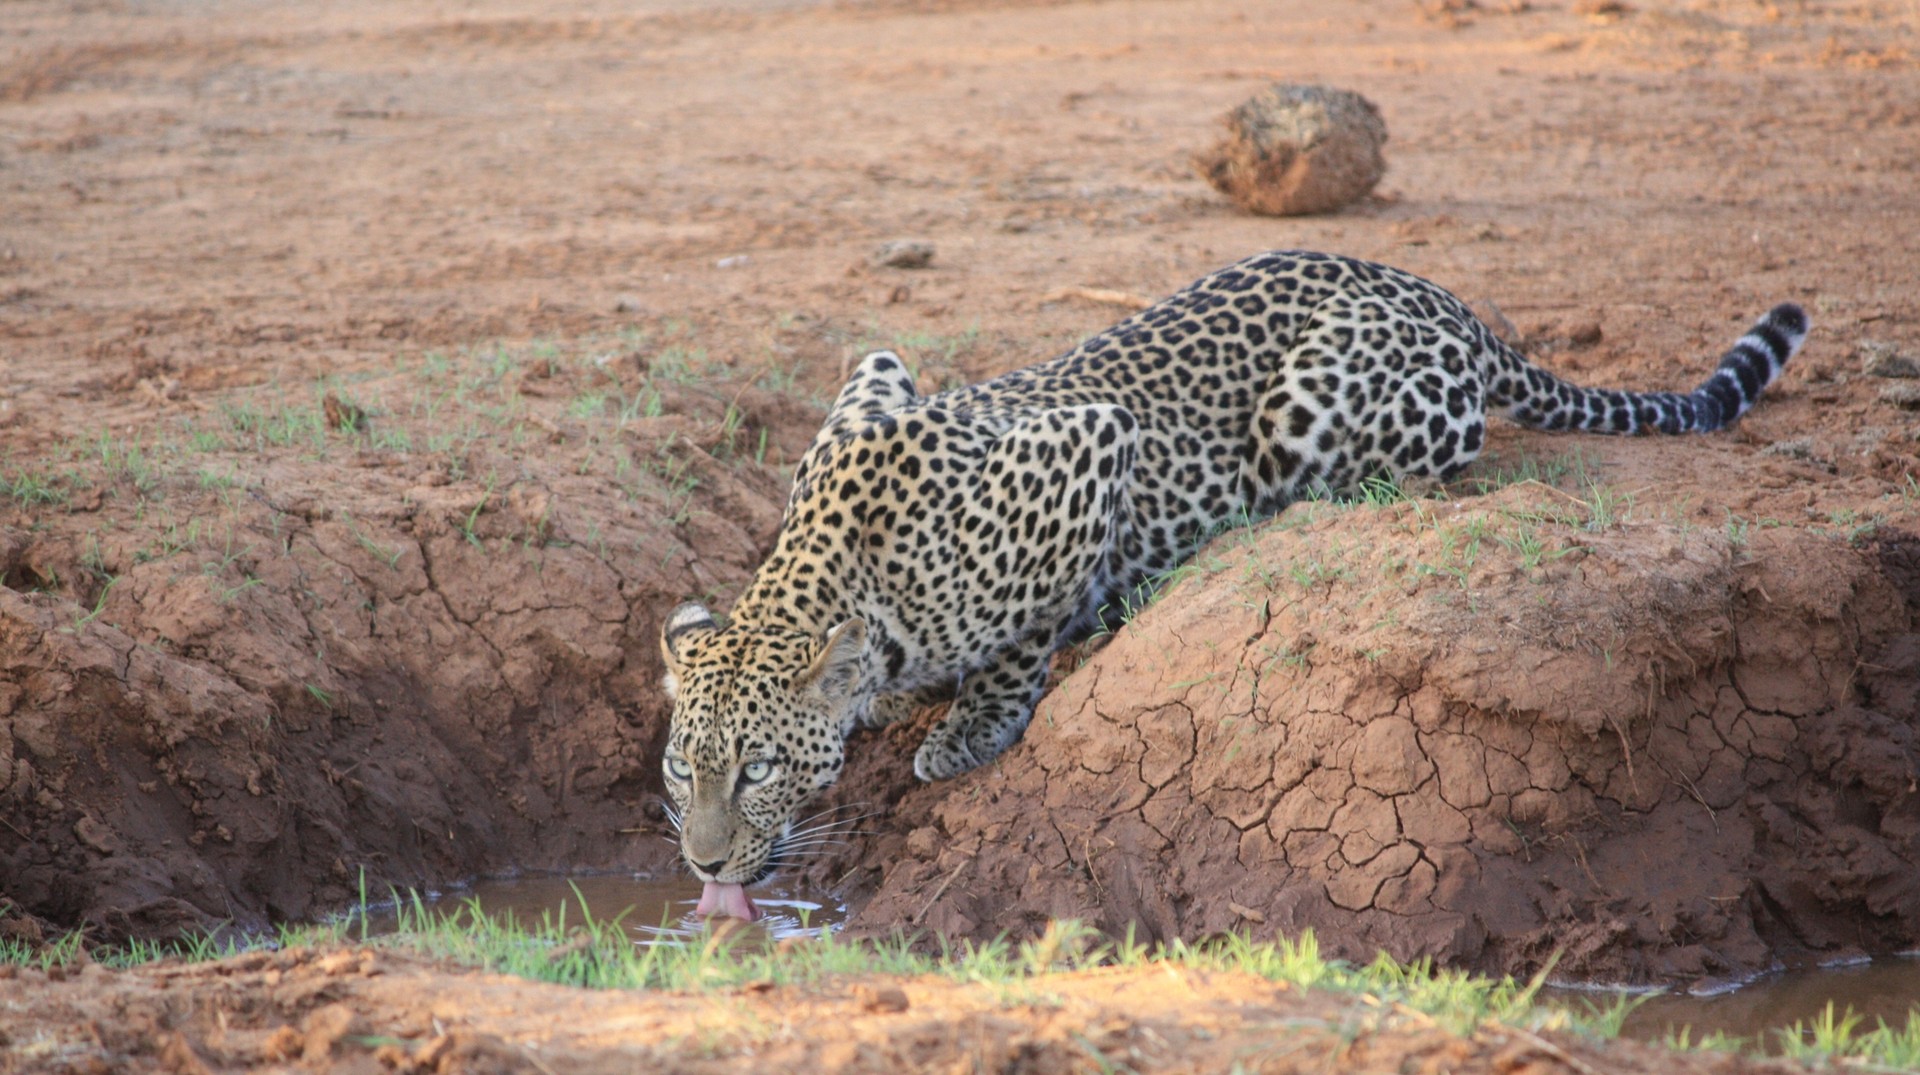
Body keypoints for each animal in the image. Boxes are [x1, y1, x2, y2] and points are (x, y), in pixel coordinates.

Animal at [656, 249, 1808, 911]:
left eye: (757, 770)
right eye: (680, 769)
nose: (703, 868)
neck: (836, 570)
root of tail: (1451, 301)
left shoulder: (1090, 444)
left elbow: (1022, 630)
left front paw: (972, 721)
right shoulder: (878, 370)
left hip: (1321, 406)